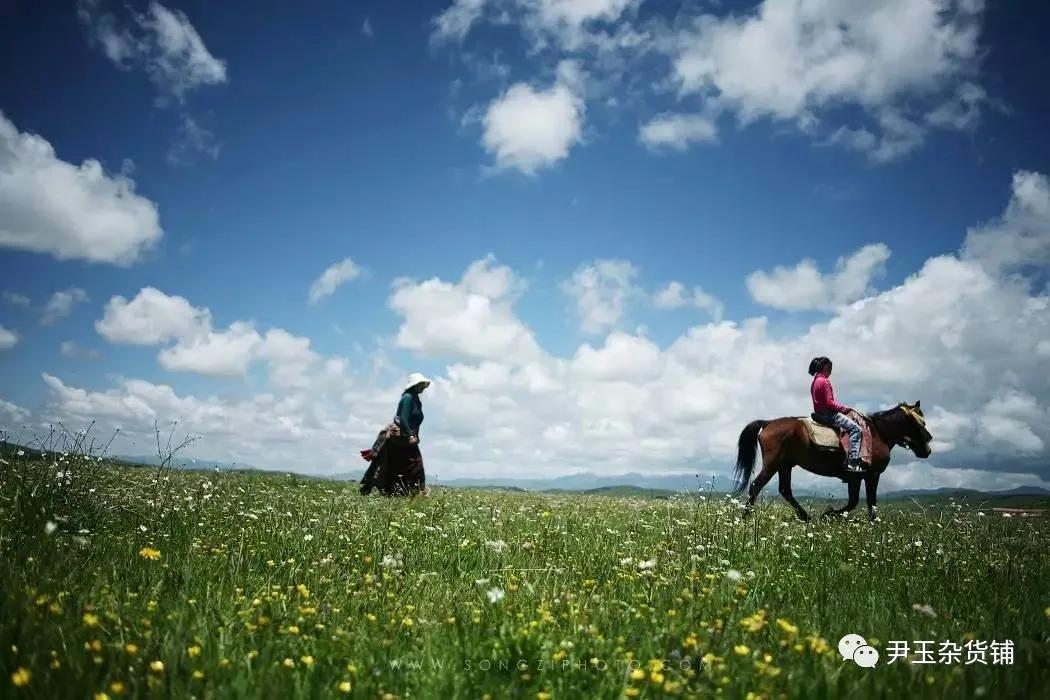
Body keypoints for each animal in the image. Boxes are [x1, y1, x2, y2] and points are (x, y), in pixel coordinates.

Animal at [734, 402, 932, 522]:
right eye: (920, 423)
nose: (928, 450)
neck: (878, 433)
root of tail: (767, 423)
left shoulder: (855, 478)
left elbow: (854, 501)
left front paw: (829, 515)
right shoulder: (871, 475)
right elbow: (868, 501)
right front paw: (832, 515)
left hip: (785, 465)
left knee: (785, 490)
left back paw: (805, 516)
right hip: (773, 464)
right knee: (756, 485)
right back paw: (745, 517)